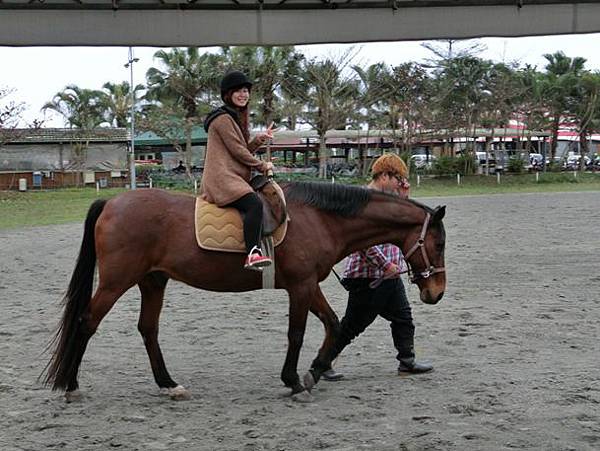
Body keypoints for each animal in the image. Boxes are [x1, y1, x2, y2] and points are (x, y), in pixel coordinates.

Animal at [43, 183, 446, 402]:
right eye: (438, 243)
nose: (436, 292)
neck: (319, 218)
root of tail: (111, 202)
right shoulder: (300, 286)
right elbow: (297, 333)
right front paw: (294, 380)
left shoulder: (309, 284)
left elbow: (333, 325)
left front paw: (314, 372)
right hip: (116, 281)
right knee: (86, 322)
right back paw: (71, 385)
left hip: (153, 281)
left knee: (148, 329)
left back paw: (169, 384)